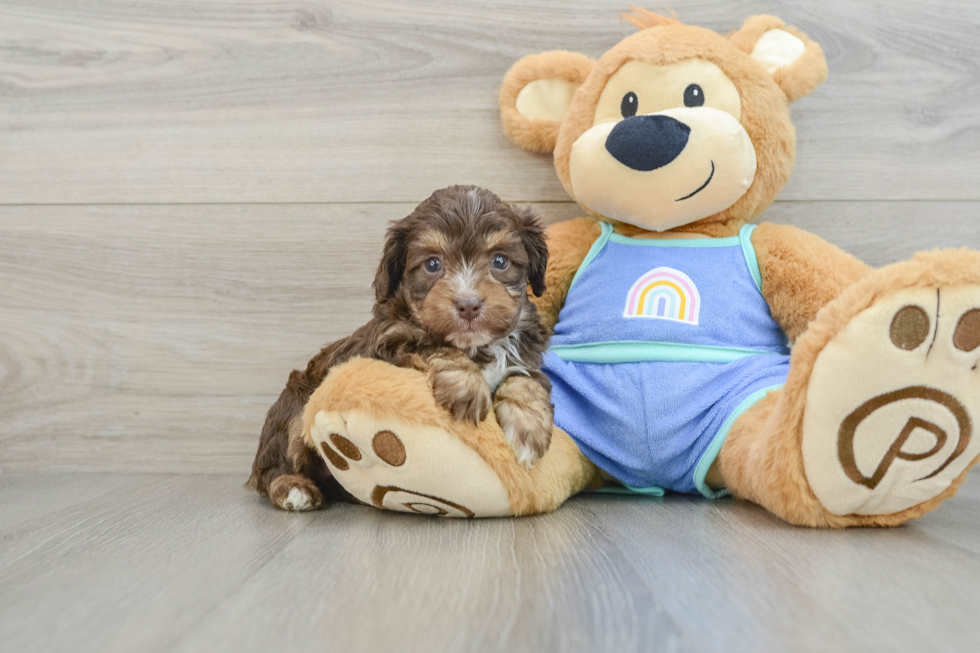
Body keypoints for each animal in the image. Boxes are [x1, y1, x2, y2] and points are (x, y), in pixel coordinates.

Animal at [249, 183, 556, 510]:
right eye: (432, 264)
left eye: (500, 261)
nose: (468, 305)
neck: (476, 347)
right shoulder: (391, 344)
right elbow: (433, 346)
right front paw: (467, 388)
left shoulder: (527, 357)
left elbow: (525, 379)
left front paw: (529, 429)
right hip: (297, 407)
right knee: (274, 466)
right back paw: (293, 488)